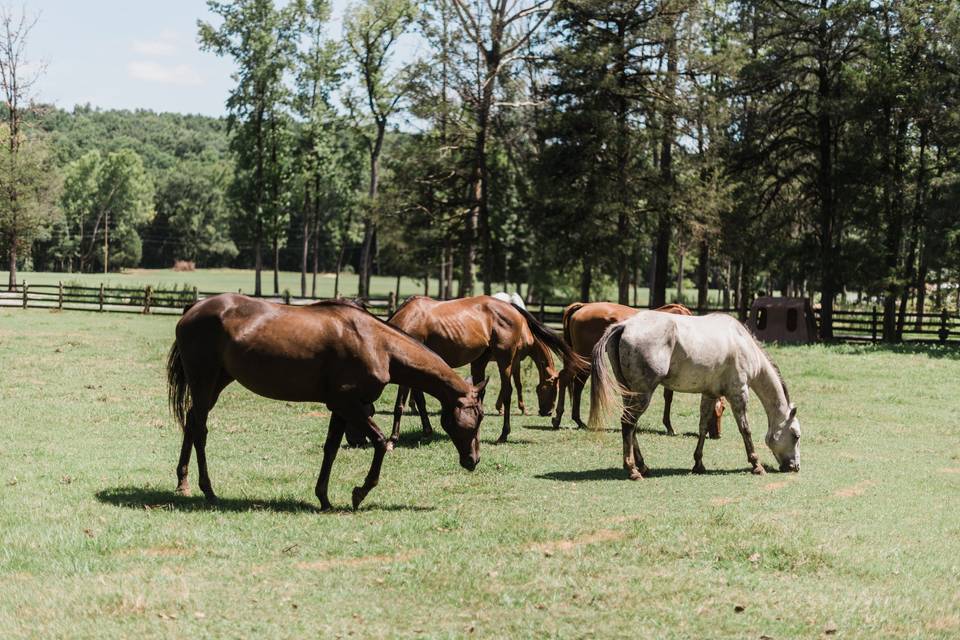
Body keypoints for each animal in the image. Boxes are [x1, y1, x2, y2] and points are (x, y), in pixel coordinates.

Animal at [167, 294, 488, 510]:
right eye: (477, 417)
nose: (473, 460)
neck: (377, 343)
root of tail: (194, 308)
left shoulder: (341, 408)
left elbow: (331, 449)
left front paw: (323, 497)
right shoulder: (349, 405)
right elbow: (380, 441)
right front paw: (360, 492)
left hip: (215, 384)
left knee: (192, 422)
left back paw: (183, 482)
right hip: (203, 382)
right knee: (200, 429)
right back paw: (207, 489)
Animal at [388, 298, 580, 442]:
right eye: (553, 388)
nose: (547, 412)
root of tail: (511, 307)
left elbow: (401, 403)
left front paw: (394, 437)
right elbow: (418, 400)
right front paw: (425, 430)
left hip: (504, 360)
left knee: (507, 391)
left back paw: (503, 434)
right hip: (480, 361)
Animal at [552, 302, 724, 438]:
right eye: (721, 409)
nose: (717, 434)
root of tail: (583, 306)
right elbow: (668, 397)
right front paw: (669, 426)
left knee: (577, 384)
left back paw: (577, 420)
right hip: (585, 358)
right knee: (566, 378)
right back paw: (559, 417)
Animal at [584, 310, 804, 480]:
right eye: (795, 435)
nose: (795, 467)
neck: (742, 342)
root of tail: (625, 325)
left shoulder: (709, 394)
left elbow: (703, 427)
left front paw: (698, 464)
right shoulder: (739, 393)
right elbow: (745, 430)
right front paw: (756, 464)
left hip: (630, 393)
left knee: (631, 427)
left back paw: (643, 466)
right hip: (643, 393)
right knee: (628, 424)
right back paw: (632, 470)